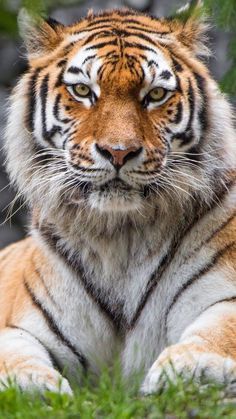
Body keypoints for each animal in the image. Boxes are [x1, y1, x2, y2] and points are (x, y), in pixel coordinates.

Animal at [0, 3, 235, 396]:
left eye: (155, 95)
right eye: (82, 90)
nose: (119, 152)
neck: (119, 236)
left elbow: (220, 333)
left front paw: (194, 368)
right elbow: (15, 354)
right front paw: (34, 387)